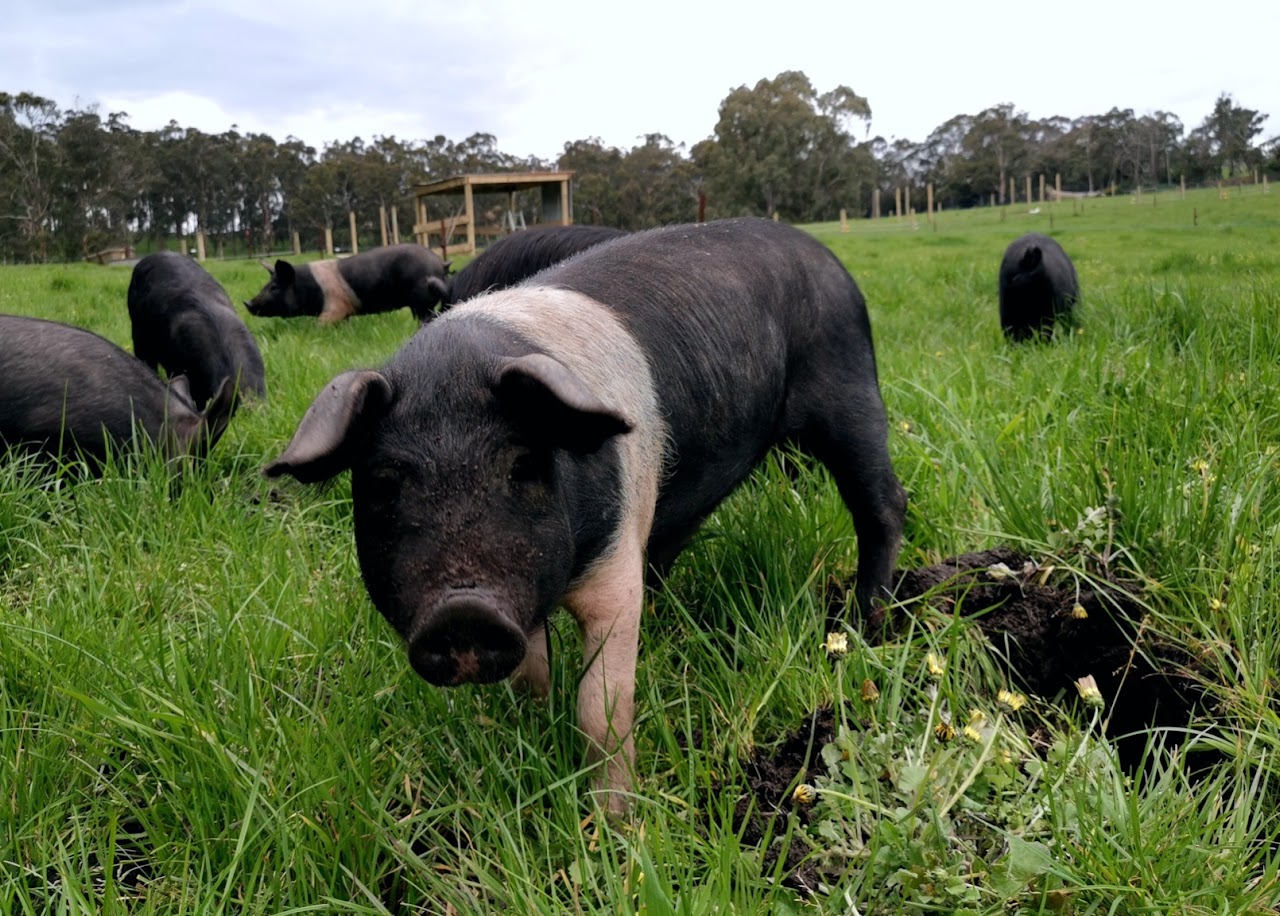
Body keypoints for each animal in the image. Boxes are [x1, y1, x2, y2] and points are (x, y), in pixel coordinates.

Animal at [244, 244, 451, 324]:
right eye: (266, 285)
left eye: (274, 287)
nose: (247, 303)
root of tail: (440, 264)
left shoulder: (334, 307)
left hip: (420, 300)